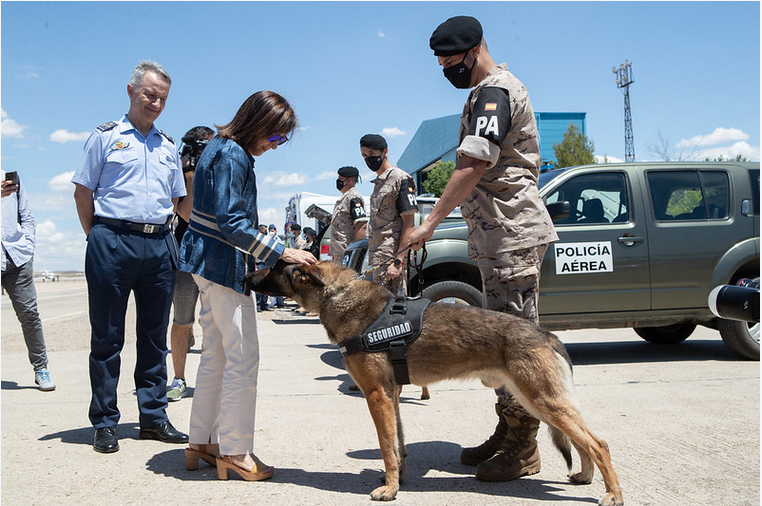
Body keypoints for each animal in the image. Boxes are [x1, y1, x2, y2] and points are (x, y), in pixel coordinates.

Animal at [246, 260, 620, 506]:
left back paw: (613, 493)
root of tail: (546, 334)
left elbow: (386, 446)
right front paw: (397, 479)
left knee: (599, 443)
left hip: (541, 400)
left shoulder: (377, 395)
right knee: (585, 441)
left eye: (275, 267)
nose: (247, 274)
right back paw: (585, 477)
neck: (339, 296)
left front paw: (390, 490)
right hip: (538, 401)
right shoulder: (392, 396)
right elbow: (397, 445)